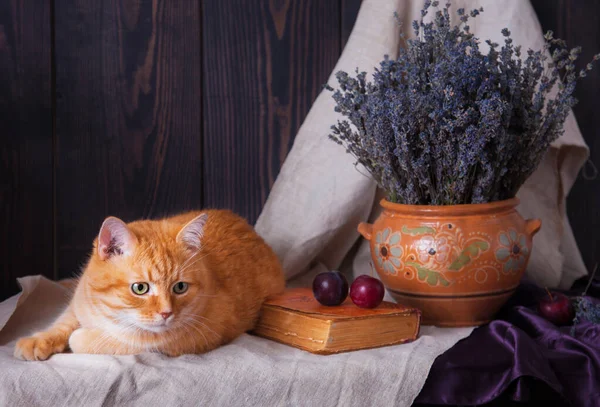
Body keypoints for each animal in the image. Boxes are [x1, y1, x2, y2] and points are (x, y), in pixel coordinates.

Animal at [14, 210, 286, 360]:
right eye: (140, 288)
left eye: (180, 287)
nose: (166, 313)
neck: (109, 312)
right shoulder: (80, 303)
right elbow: (63, 322)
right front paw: (39, 340)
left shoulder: (191, 338)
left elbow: (105, 340)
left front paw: (81, 337)